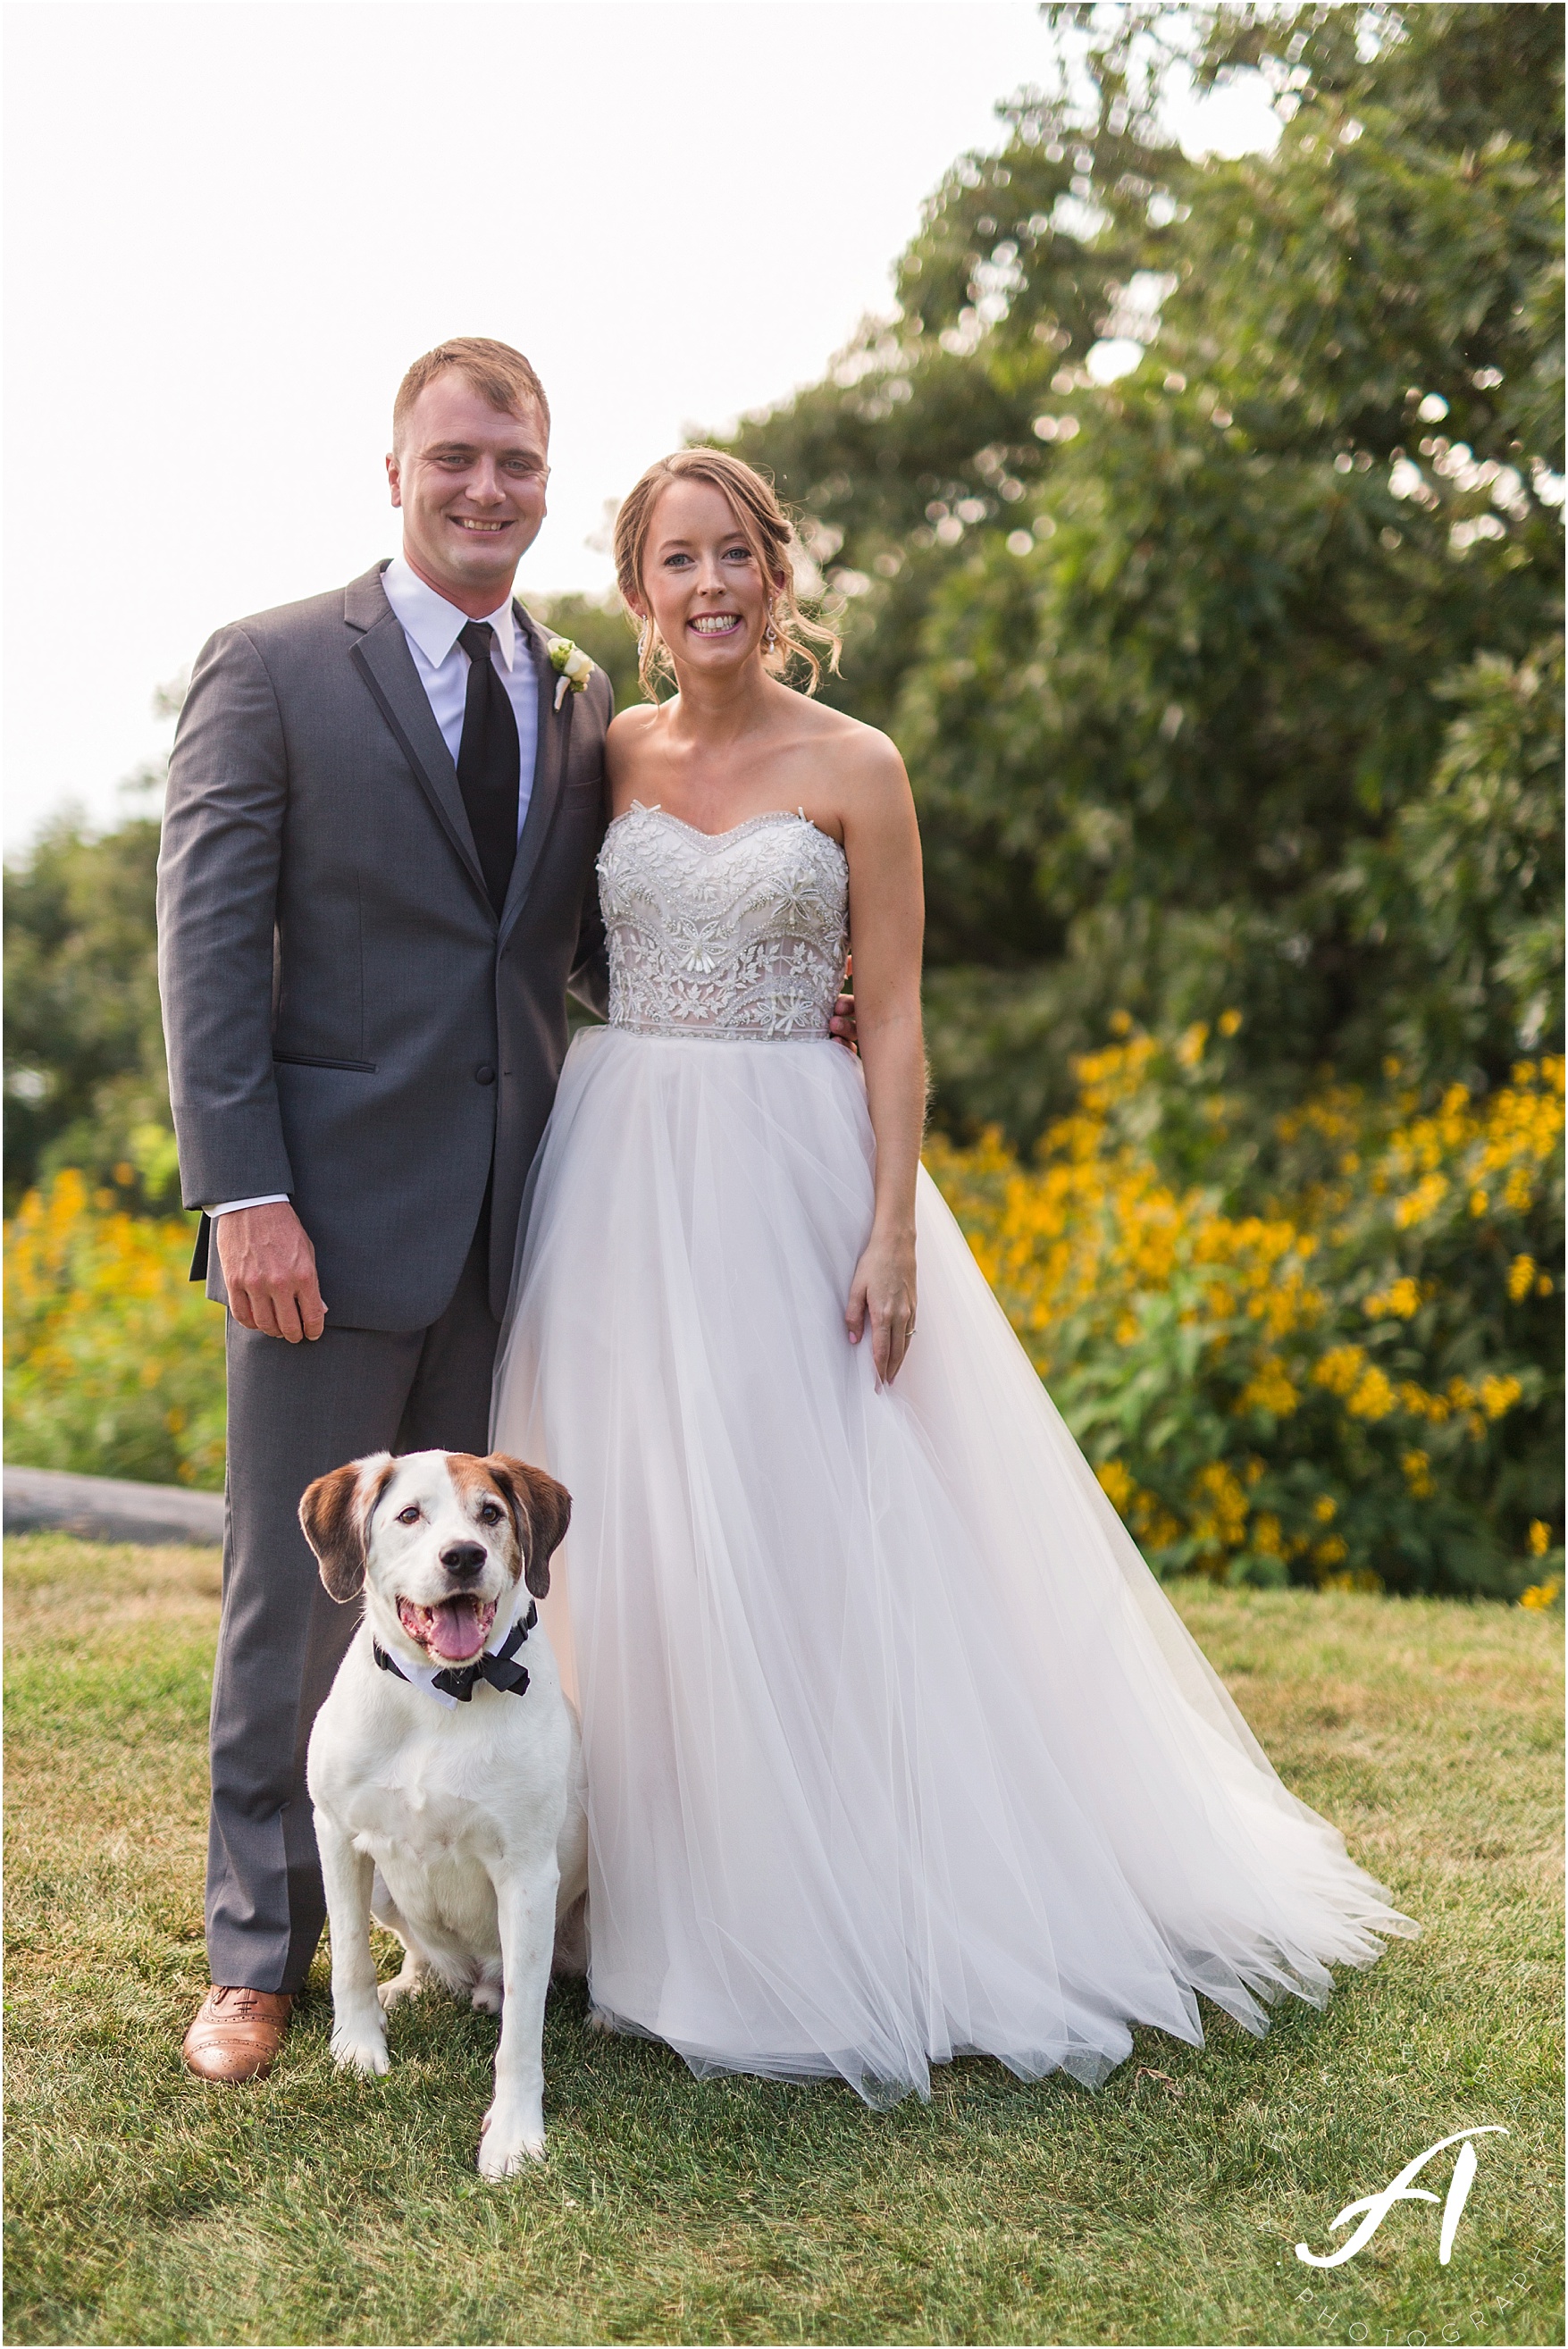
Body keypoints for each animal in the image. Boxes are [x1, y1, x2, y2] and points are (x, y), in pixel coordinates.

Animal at [300, 1447, 586, 2179]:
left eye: (490, 1513)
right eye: (409, 1515)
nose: (463, 1556)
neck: (444, 1692)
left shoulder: (527, 1875)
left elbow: (522, 2031)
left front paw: (514, 2133)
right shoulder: (336, 1833)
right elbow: (349, 1956)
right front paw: (357, 2046)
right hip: (382, 1887)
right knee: (422, 1952)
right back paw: (412, 1983)